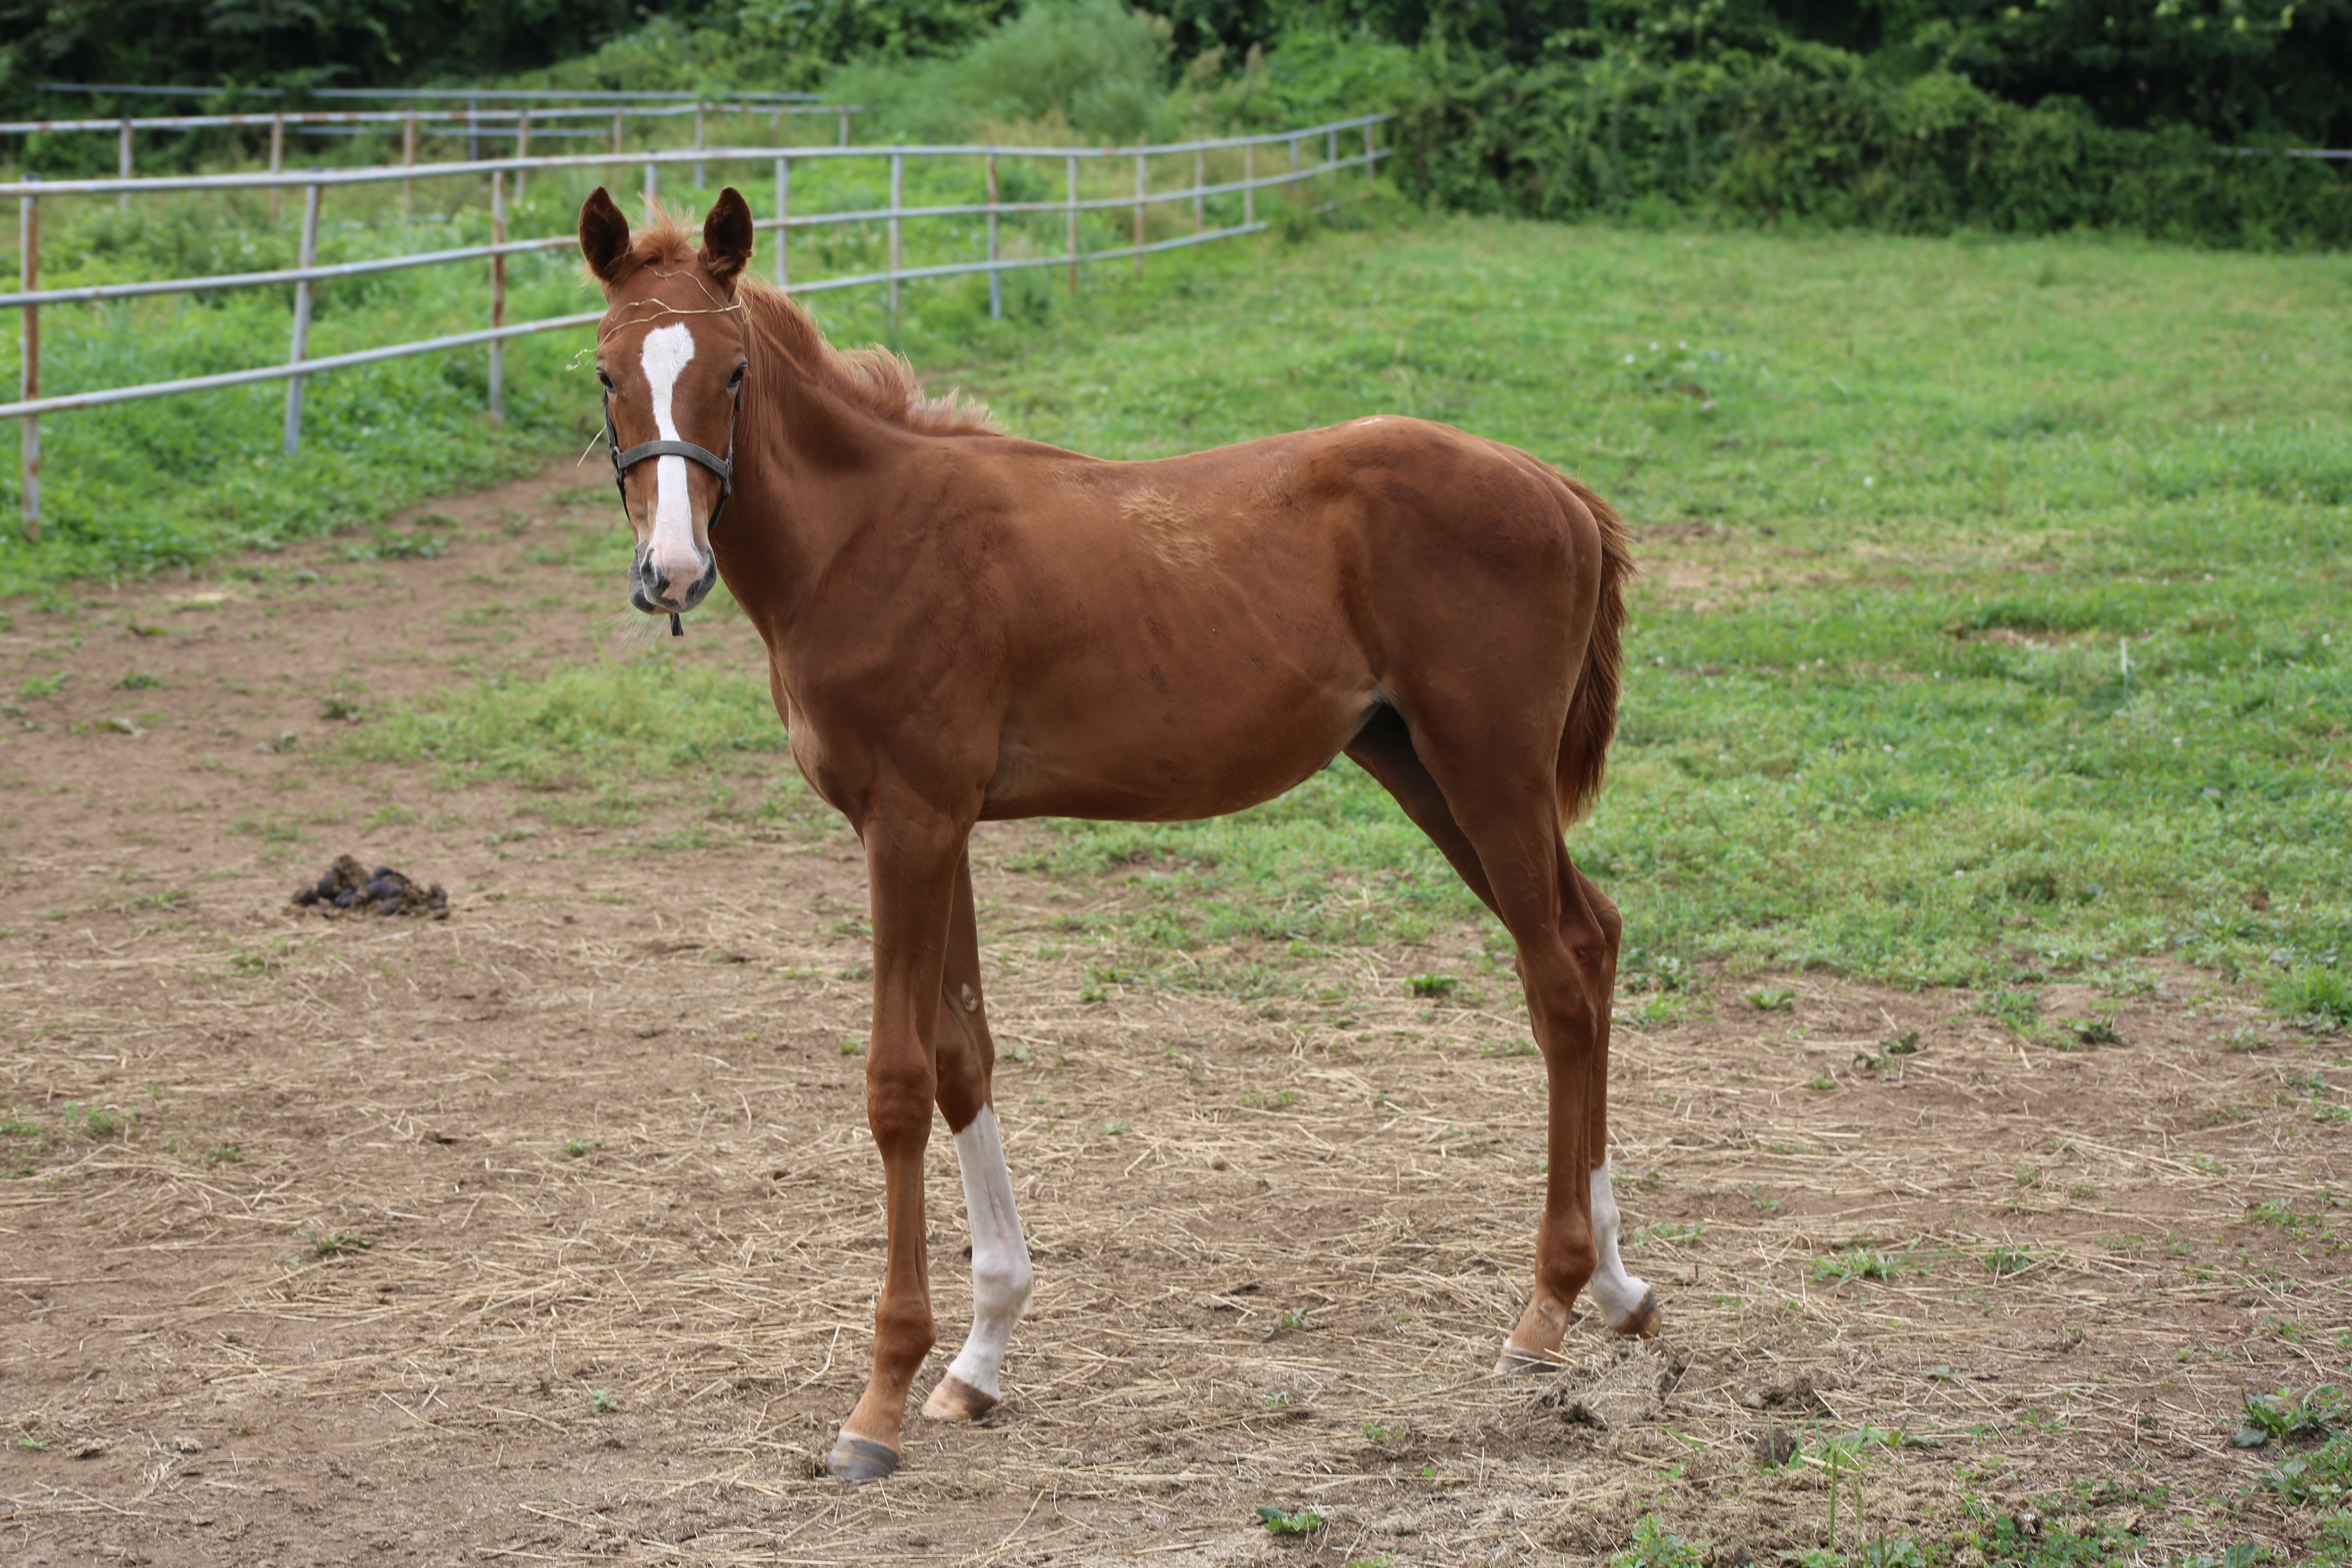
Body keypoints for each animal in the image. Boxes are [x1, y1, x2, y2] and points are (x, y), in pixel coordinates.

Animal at [586, 187, 1656, 1486]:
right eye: (605, 374)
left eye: (733, 372)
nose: (670, 570)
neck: (865, 536)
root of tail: (1559, 490)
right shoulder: (942, 827)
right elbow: (964, 1059)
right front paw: (977, 1361)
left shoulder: (909, 825)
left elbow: (897, 1082)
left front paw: (879, 1399)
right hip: (1419, 765)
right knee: (1590, 938)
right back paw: (1617, 1286)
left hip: (1485, 767)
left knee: (1554, 977)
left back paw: (1546, 1304)